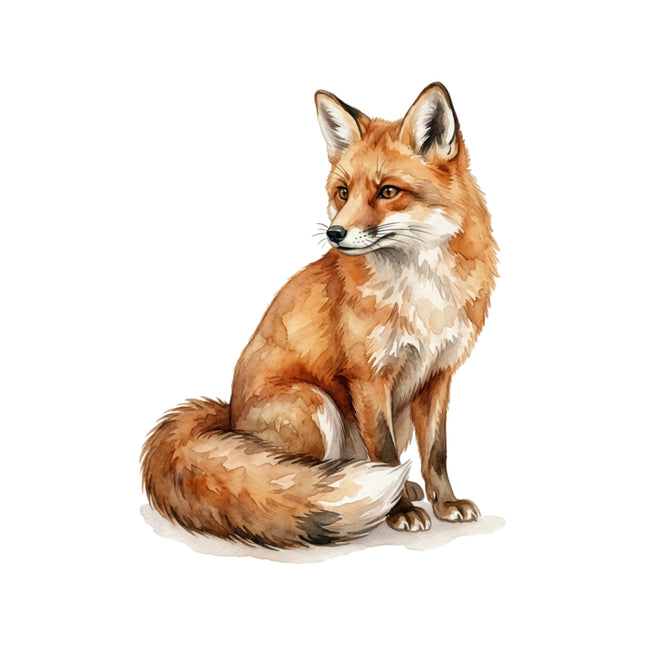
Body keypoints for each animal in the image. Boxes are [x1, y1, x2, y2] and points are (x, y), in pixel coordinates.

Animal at [141, 82, 497, 549]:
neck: (422, 290)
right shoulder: (368, 378)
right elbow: (385, 454)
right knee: (305, 478)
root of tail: (228, 416)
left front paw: (446, 504)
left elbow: (436, 453)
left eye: (388, 191)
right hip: (314, 403)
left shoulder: (438, 375)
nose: (335, 233)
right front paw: (401, 511)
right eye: (342, 192)